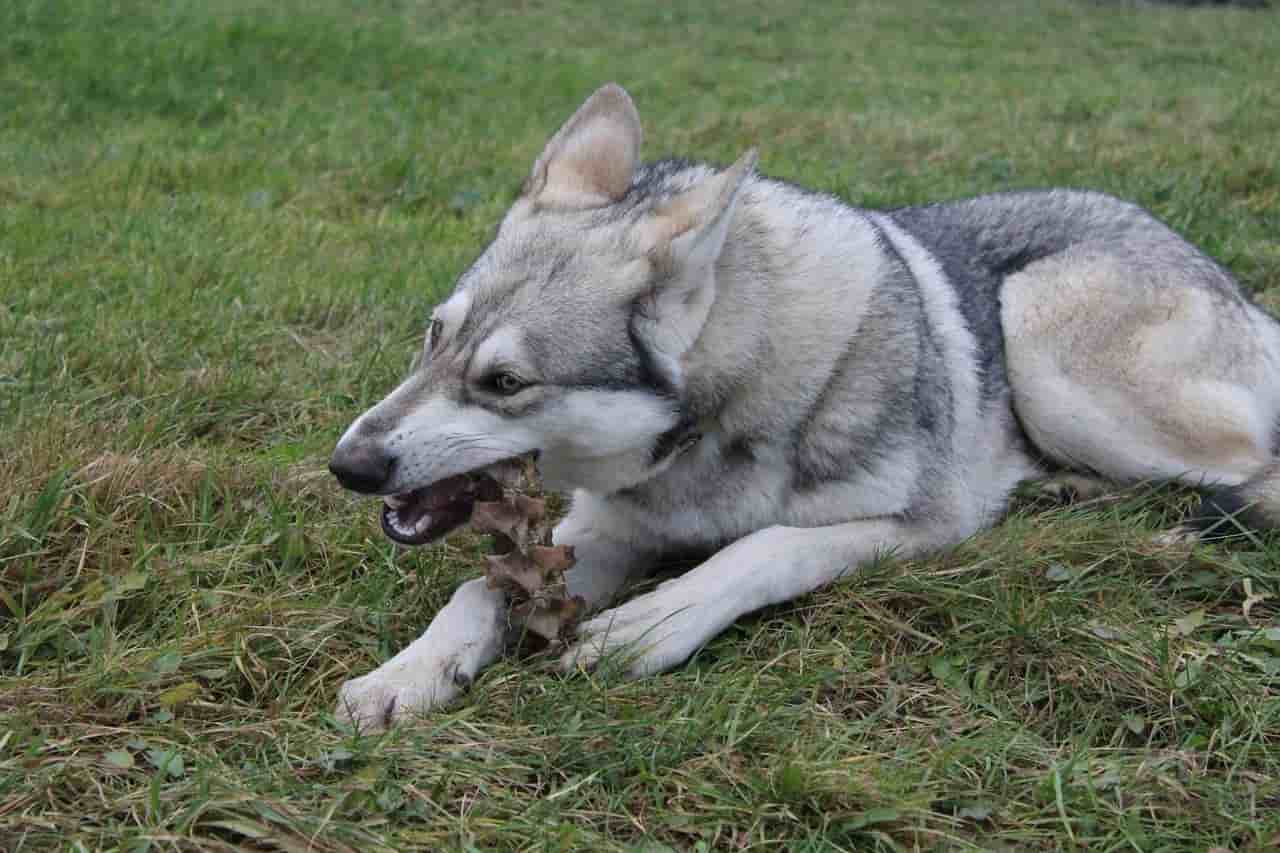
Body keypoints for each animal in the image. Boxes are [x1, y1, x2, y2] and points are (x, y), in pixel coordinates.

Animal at [327, 83, 1280, 727]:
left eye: (505, 382)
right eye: (434, 335)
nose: (348, 464)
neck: (709, 438)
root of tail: (1226, 280)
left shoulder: (925, 525)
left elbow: (762, 546)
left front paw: (649, 625)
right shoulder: (605, 528)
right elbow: (479, 591)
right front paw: (404, 675)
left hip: (1044, 339)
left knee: (1253, 468)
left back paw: (1176, 528)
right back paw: (1069, 491)